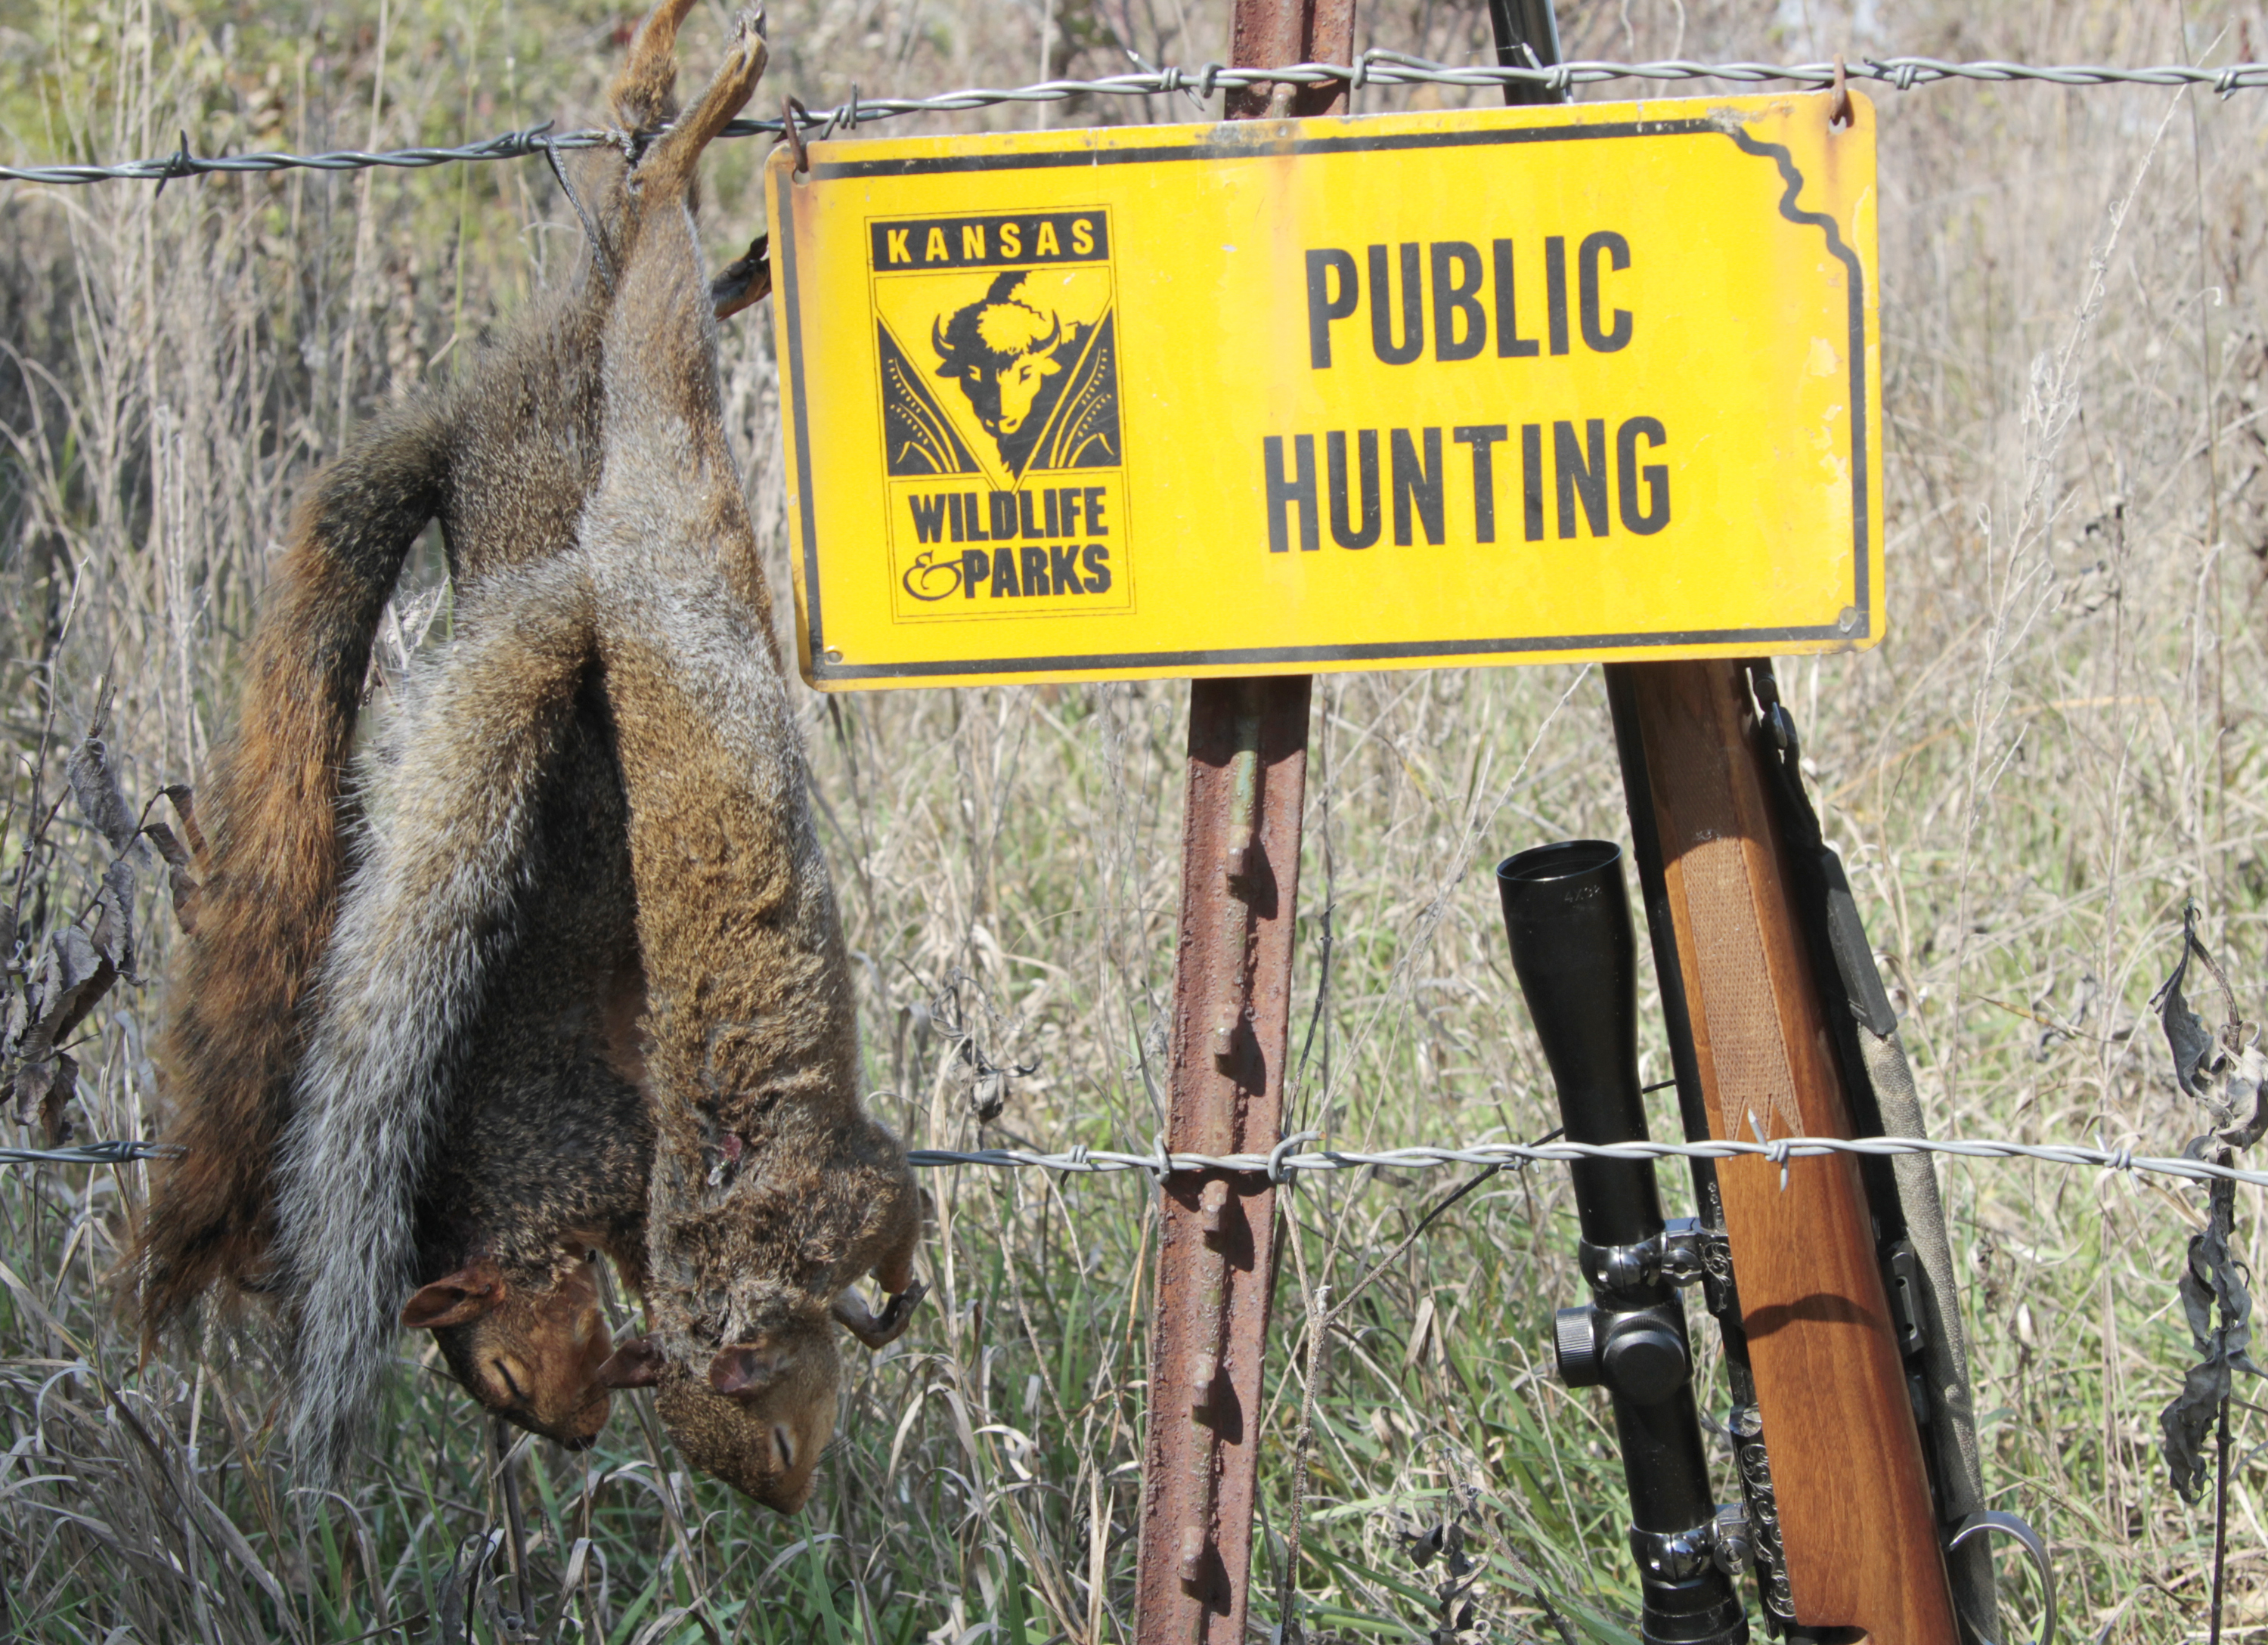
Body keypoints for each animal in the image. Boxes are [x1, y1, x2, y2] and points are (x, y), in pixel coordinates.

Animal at [270, 12, 925, 1506]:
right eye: (777, 1455)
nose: (796, 1500)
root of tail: (606, 559)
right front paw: (881, 1316)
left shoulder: (819, 1183)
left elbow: (902, 1202)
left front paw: (901, 1293)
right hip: (663, 479)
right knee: (646, 295)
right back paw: (702, 163)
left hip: (671, 477)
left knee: (651, 298)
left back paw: (700, 117)